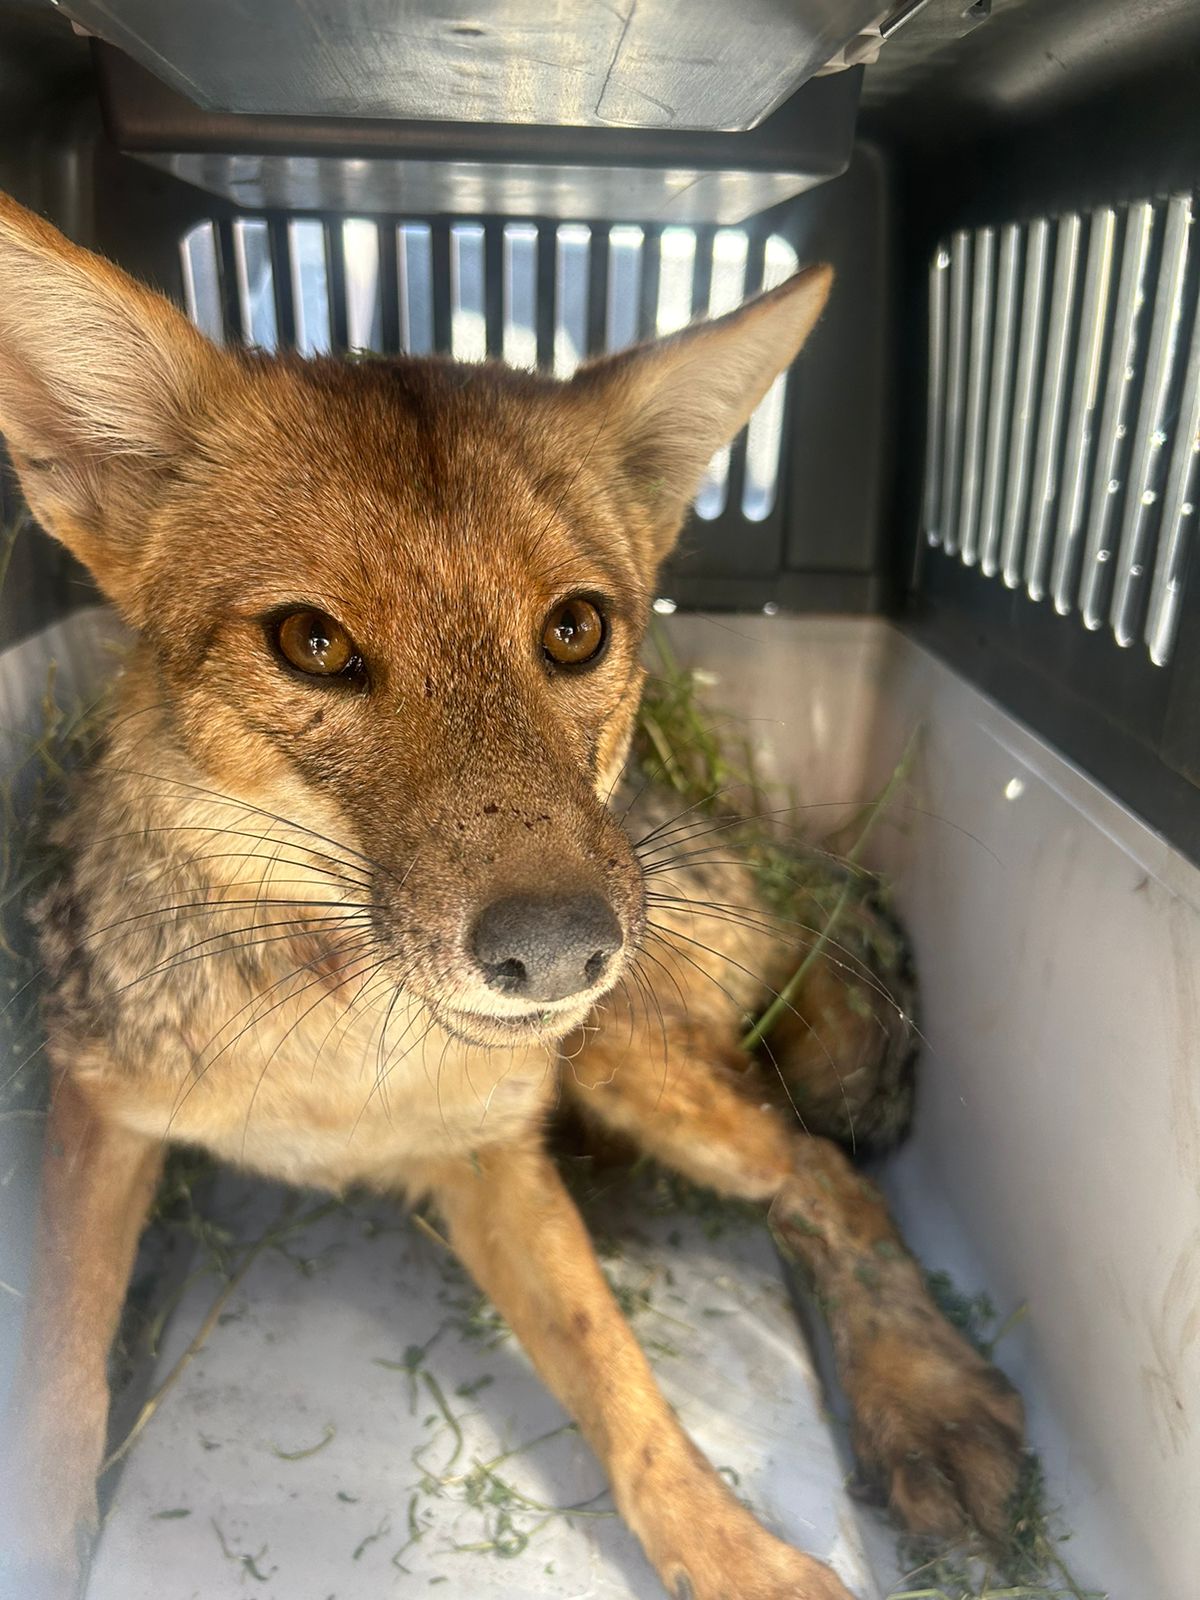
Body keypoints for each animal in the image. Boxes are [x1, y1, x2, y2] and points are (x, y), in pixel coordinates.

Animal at [0, 190, 1024, 1600]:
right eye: (312, 642)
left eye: (576, 630)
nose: (558, 953)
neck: (342, 1071)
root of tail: (732, 827)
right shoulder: (99, 1112)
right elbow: (57, 1389)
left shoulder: (495, 1154)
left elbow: (626, 1389)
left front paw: (740, 1557)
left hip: (632, 1067)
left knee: (824, 1176)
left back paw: (928, 1401)